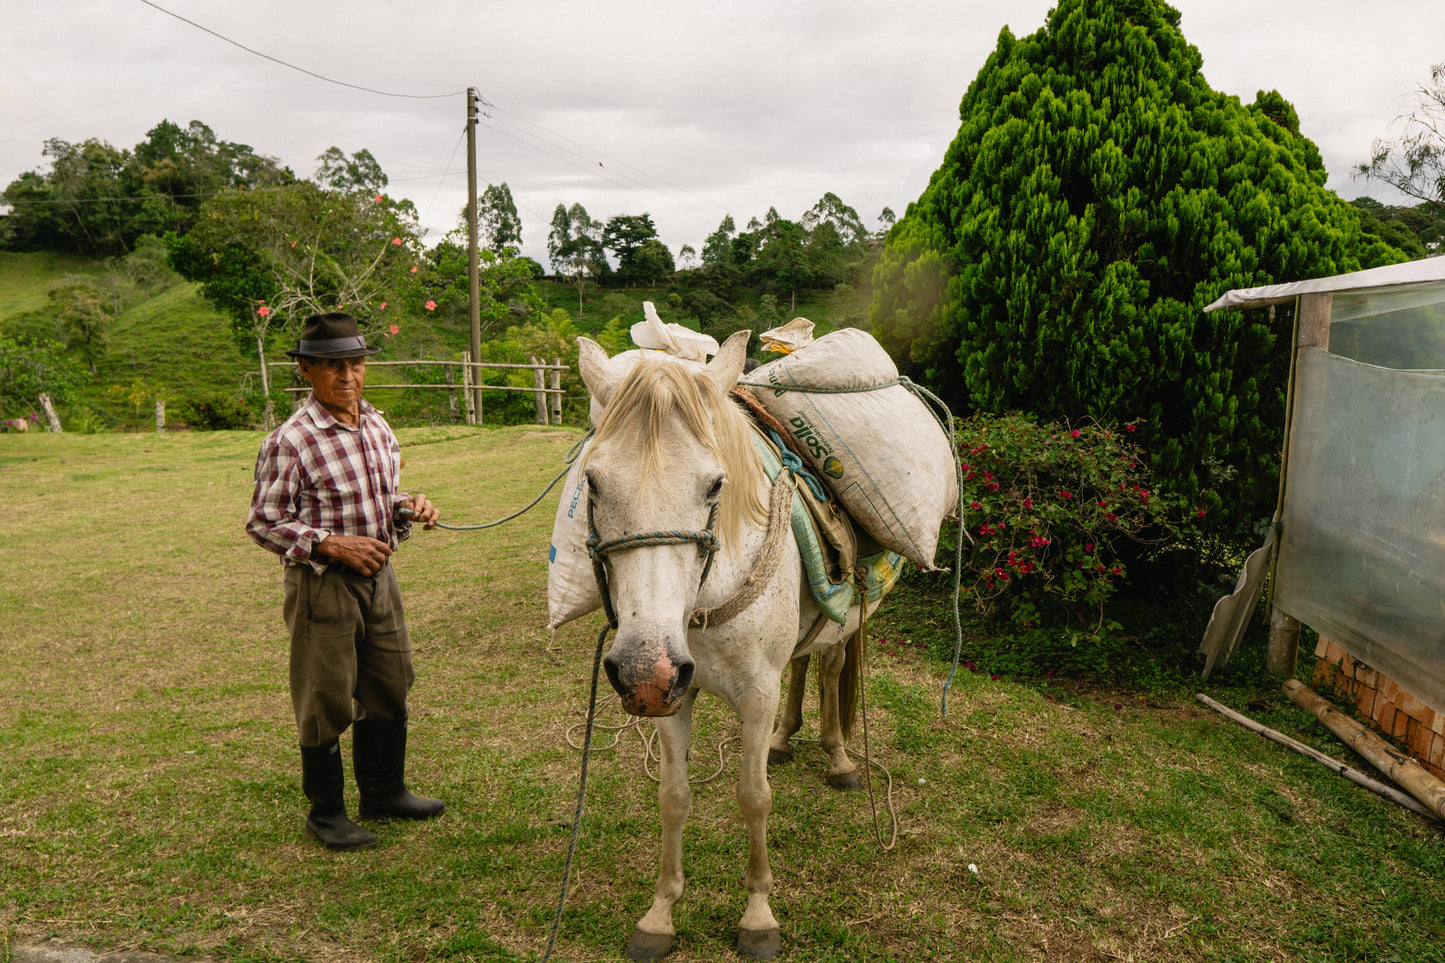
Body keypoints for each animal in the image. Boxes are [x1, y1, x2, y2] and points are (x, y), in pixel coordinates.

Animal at [578, 332, 872, 960]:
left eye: (716, 484)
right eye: (592, 482)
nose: (640, 670)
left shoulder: (754, 693)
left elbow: (753, 796)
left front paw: (759, 915)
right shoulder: (673, 694)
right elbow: (673, 797)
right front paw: (660, 915)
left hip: (844, 621)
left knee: (829, 663)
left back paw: (837, 757)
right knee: (802, 662)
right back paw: (785, 739)